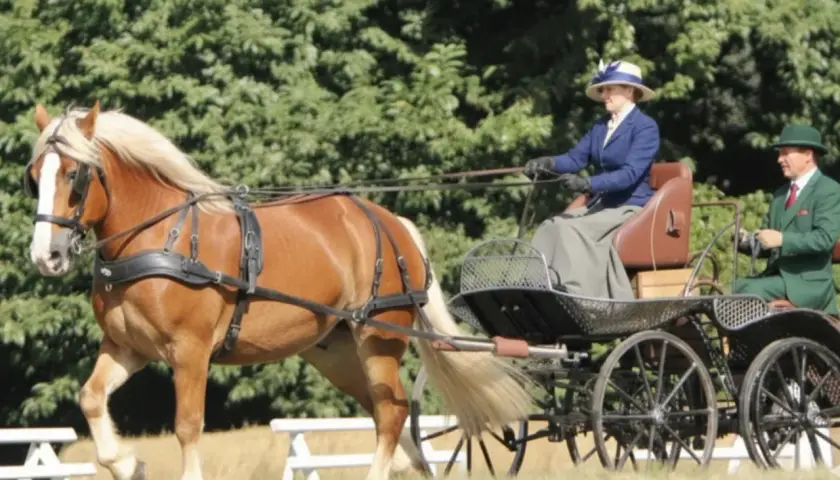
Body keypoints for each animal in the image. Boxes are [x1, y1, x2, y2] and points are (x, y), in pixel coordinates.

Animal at [22, 101, 534, 480]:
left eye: (74, 175)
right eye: (34, 176)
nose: (46, 255)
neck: (161, 236)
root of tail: (392, 223)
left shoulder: (190, 351)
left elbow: (187, 426)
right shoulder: (128, 347)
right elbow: (91, 397)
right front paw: (128, 463)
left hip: (380, 339)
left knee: (391, 415)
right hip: (337, 352)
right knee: (386, 411)